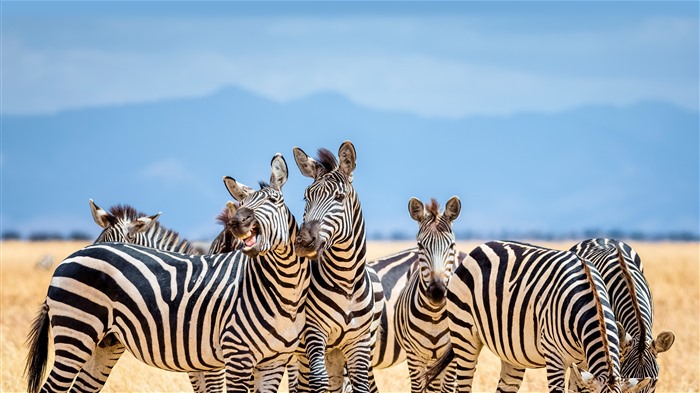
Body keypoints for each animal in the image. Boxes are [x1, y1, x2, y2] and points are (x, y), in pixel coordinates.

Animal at [25, 153, 308, 392]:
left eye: (274, 201)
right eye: (243, 203)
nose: (239, 221)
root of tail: (68, 258)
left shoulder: (261, 362)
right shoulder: (223, 360)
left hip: (103, 344)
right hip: (76, 332)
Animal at [288, 141, 382, 392]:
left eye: (339, 197)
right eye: (306, 198)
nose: (303, 242)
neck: (346, 280)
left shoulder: (359, 341)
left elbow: (361, 385)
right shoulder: (314, 332)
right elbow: (319, 381)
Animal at [394, 196, 464, 392]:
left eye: (452, 245)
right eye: (420, 245)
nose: (437, 292)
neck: (435, 315)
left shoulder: (451, 359)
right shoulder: (414, 357)